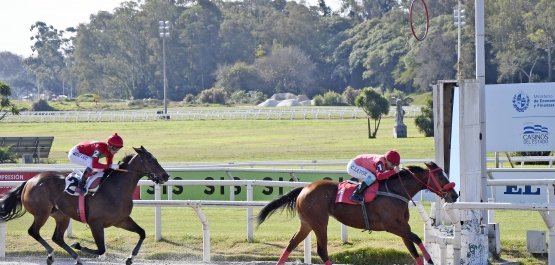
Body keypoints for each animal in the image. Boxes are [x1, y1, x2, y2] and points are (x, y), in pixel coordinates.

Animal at [0, 146, 169, 264]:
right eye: (150, 160)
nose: (166, 176)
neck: (116, 188)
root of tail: (29, 181)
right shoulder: (96, 224)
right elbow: (101, 249)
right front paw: (78, 245)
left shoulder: (121, 220)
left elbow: (142, 233)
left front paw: (130, 258)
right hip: (42, 213)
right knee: (34, 232)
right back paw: (53, 254)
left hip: (61, 215)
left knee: (57, 238)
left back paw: (75, 259)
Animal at [258, 161, 458, 264]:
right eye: (440, 176)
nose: (454, 194)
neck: (395, 191)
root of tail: (304, 188)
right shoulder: (391, 226)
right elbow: (416, 238)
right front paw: (430, 260)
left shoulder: (402, 226)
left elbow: (413, 248)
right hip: (319, 222)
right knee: (322, 250)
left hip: (306, 223)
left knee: (291, 244)